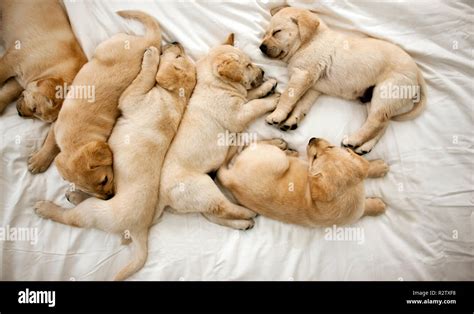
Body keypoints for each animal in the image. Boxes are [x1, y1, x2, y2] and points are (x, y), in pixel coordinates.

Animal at [28, 11, 164, 200]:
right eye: (88, 191)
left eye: (104, 180)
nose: (108, 198)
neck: (75, 139)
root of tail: (147, 42)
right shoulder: (57, 127)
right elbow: (49, 143)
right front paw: (39, 160)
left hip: (107, 46)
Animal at [34, 43, 195, 280]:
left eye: (177, 56)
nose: (176, 42)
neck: (175, 97)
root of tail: (140, 230)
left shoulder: (133, 95)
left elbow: (146, 76)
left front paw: (151, 56)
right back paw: (75, 196)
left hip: (95, 212)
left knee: (72, 217)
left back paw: (48, 207)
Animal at [157, 33, 280, 231]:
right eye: (247, 65)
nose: (263, 72)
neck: (215, 84)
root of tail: (163, 197)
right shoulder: (239, 115)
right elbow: (256, 104)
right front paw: (273, 99)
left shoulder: (241, 99)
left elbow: (251, 94)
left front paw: (268, 86)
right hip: (203, 188)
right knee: (222, 207)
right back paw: (248, 213)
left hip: (198, 200)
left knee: (213, 215)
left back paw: (243, 224)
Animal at [218, 137, 388, 226]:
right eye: (315, 157)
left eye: (331, 147)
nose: (312, 139)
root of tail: (230, 179)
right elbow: (365, 208)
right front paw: (378, 206)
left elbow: (363, 167)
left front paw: (377, 167)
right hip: (278, 159)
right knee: (253, 144)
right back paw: (281, 145)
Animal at [262, 5, 428, 155]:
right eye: (265, 33)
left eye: (277, 32)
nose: (261, 47)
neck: (309, 41)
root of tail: (417, 73)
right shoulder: (314, 87)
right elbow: (302, 105)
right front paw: (292, 121)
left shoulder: (301, 75)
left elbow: (287, 97)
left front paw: (276, 116)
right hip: (377, 99)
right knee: (382, 126)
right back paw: (364, 147)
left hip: (385, 93)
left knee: (375, 122)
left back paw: (353, 140)